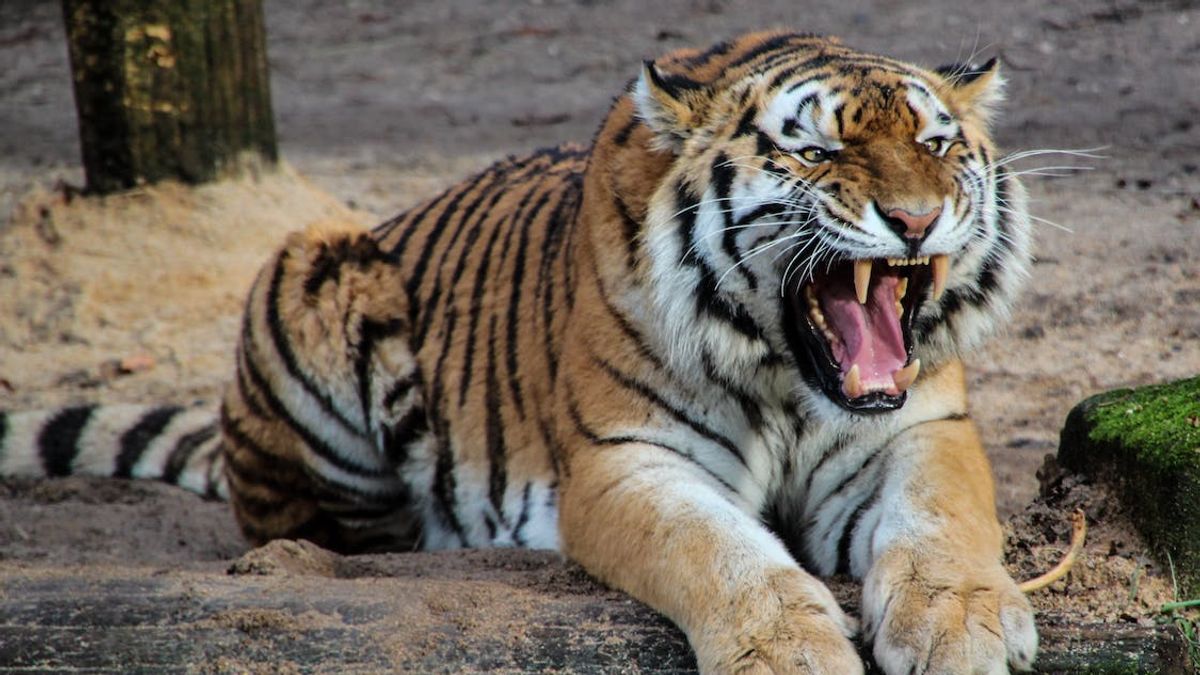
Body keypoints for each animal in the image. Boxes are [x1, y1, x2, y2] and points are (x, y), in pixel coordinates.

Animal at [0, 31, 1036, 672]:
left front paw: (963, 625)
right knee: (314, 524)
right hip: (314, 265)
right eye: (815, 154)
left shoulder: (922, 427)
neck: (788, 377)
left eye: (937, 145)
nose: (915, 219)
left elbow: (944, 521)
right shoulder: (627, 461)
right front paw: (790, 652)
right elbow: (722, 551)